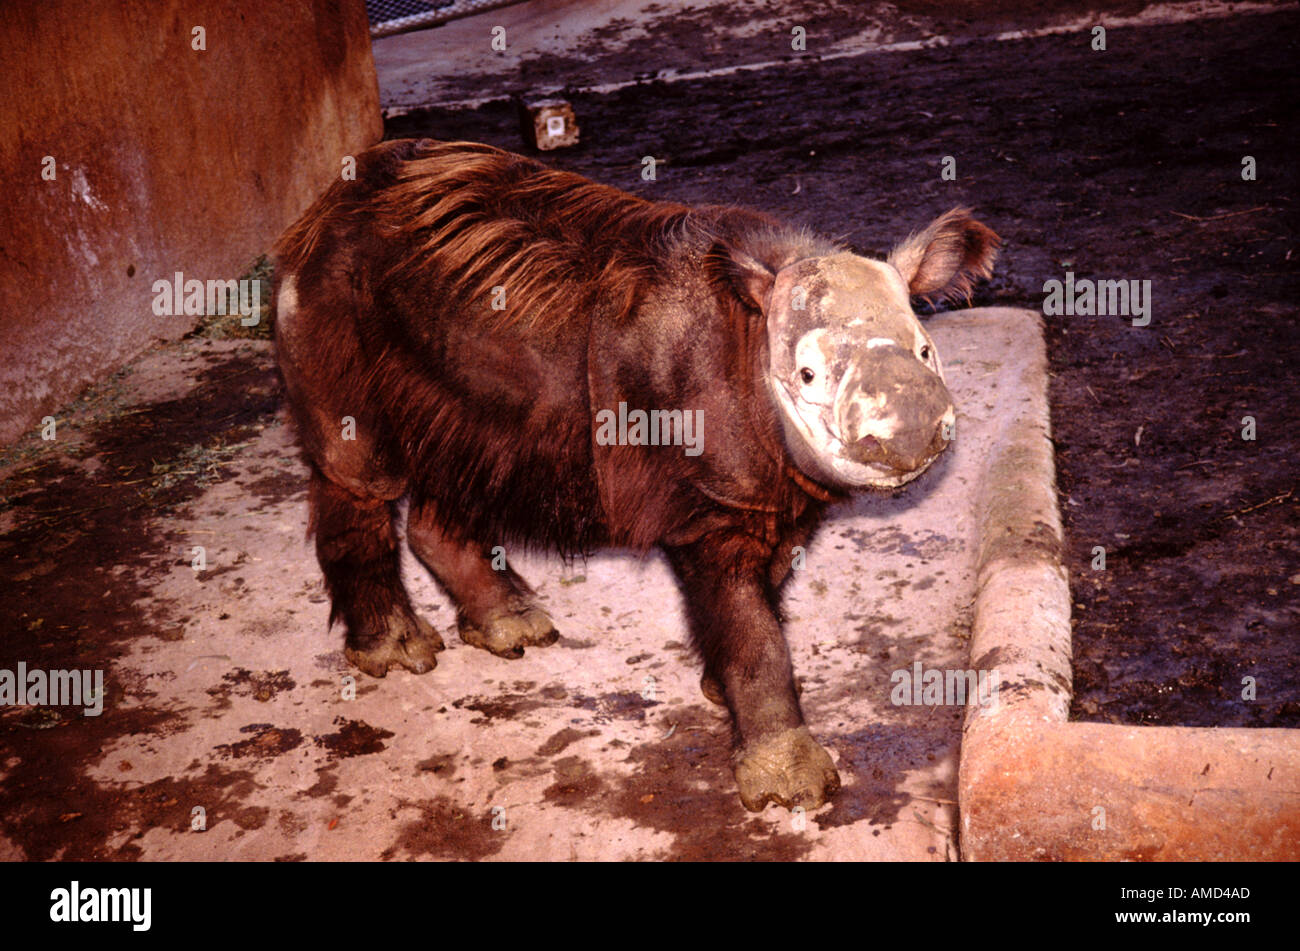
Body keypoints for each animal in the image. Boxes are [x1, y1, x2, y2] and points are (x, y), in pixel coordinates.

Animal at [279, 139, 998, 810]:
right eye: (808, 374)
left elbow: (763, 591)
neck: (752, 335)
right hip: (330, 291)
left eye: (926, 351)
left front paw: (718, 689)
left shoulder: (769, 490)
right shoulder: (713, 506)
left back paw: (515, 630)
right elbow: (752, 632)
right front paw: (790, 787)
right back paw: (398, 654)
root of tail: (322, 204)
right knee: (359, 469)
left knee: (459, 455)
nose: (910, 423)